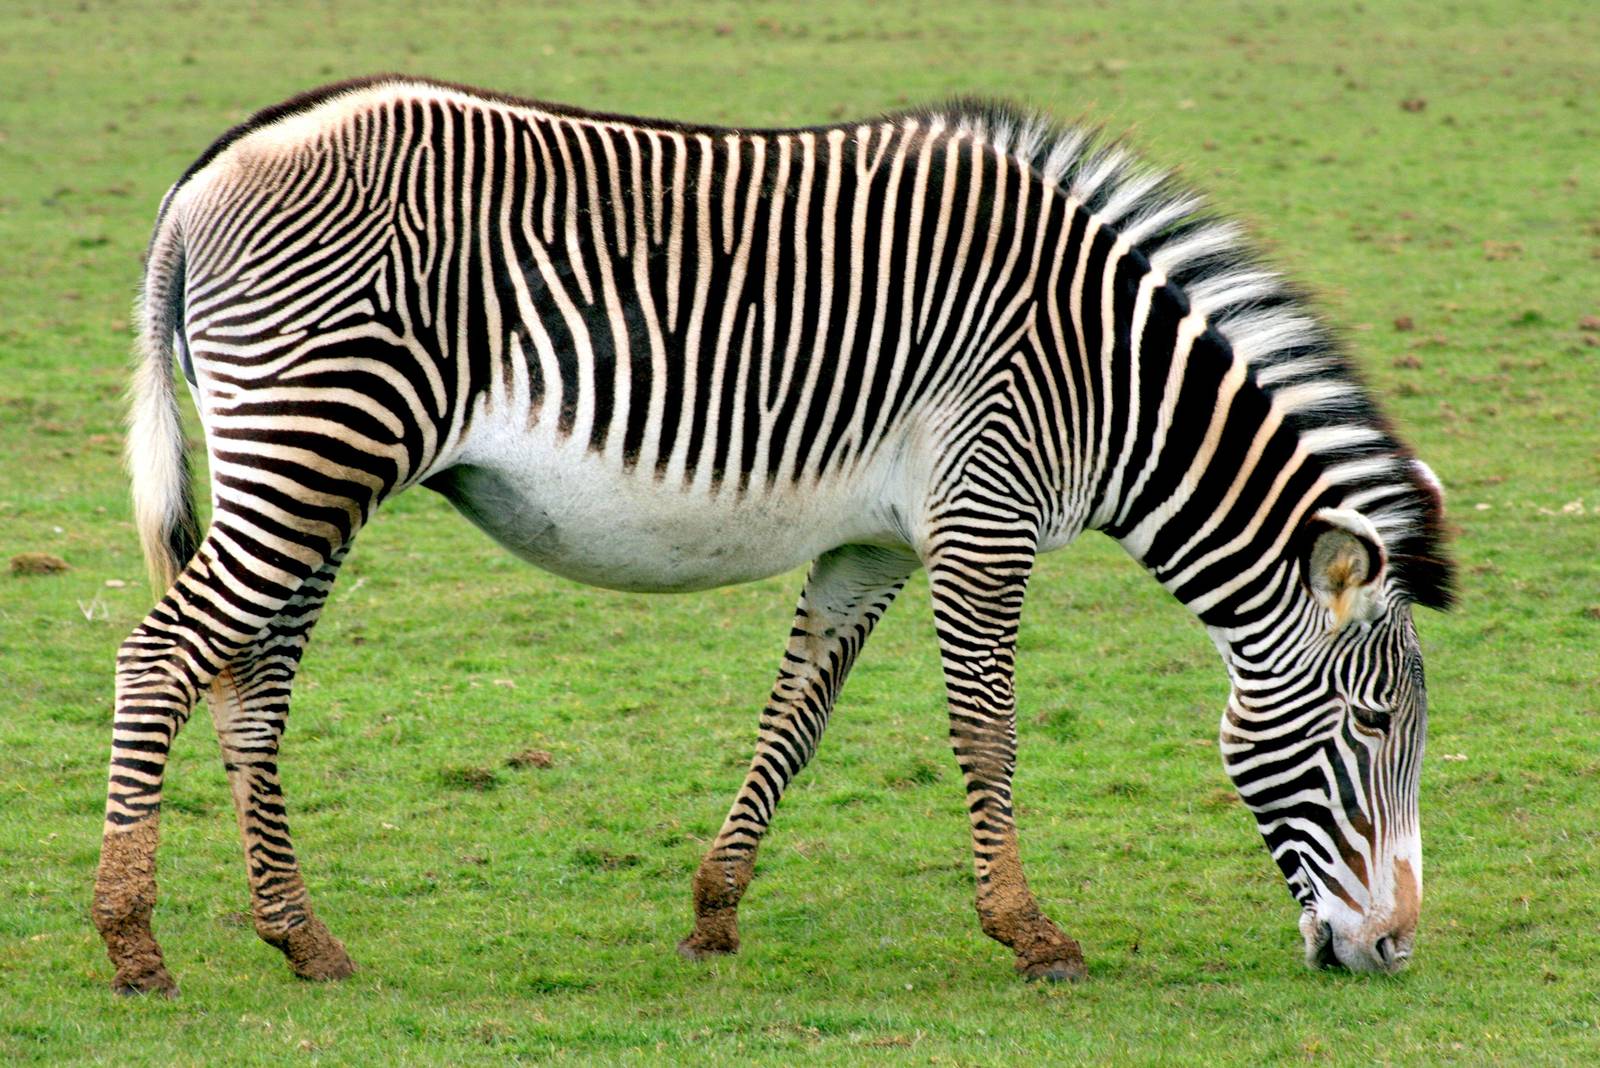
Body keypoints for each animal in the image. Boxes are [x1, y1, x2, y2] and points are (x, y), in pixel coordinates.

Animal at [94, 76, 1454, 996]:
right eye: (1372, 725)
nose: (1392, 948)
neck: (1110, 377)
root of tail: (206, 176)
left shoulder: (876, 543)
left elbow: (797, 721)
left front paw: (713, 910)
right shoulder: (986, 511)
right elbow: (986, 729)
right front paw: (1030, 934)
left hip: (320, 468)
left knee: (251, 683)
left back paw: (300, 938)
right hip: (318, 444)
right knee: (163, 659)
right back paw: (133, 944)